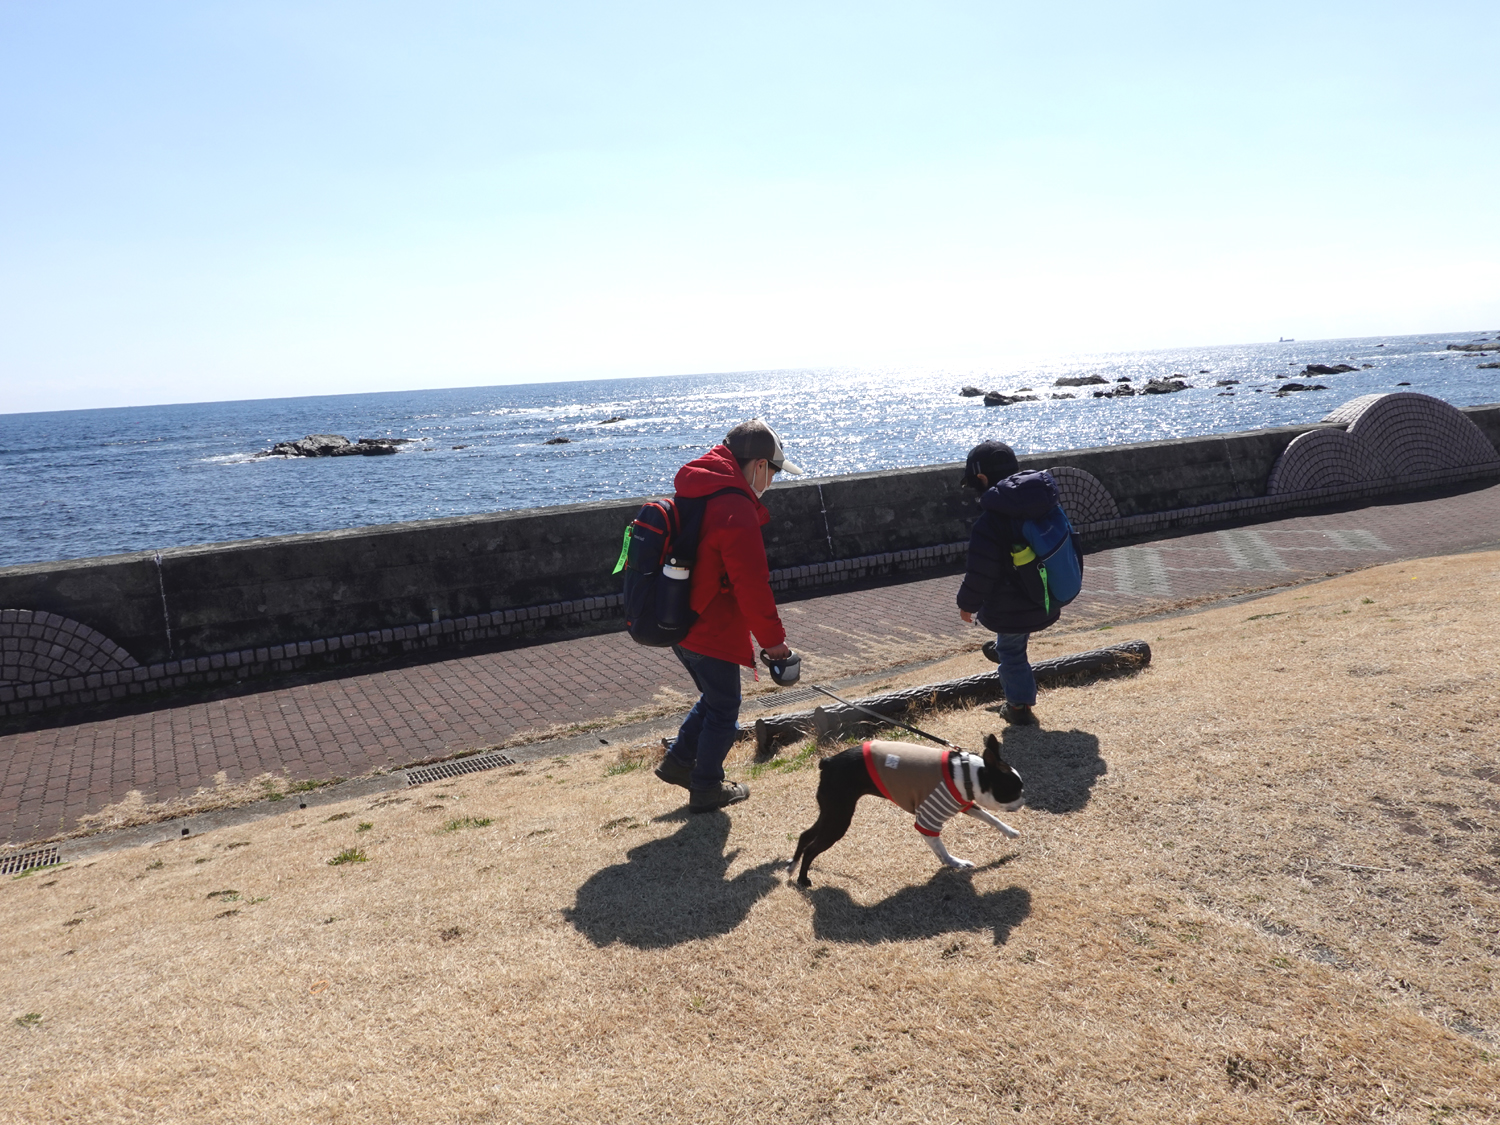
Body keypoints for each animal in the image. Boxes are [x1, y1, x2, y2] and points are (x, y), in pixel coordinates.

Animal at [786, 741, 1020, 888]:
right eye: (1013, 790)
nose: (1022, 798)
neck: (966, 772)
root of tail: (827, 761)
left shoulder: (964, 804)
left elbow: (991, 818)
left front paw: (1010, 832)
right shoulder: (928, 819)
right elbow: (941, 850)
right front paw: (956, 863)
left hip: (831, 812)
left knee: (805, 835)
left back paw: (792, 866)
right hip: (839, 818)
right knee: (811, 848)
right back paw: (803, 880)